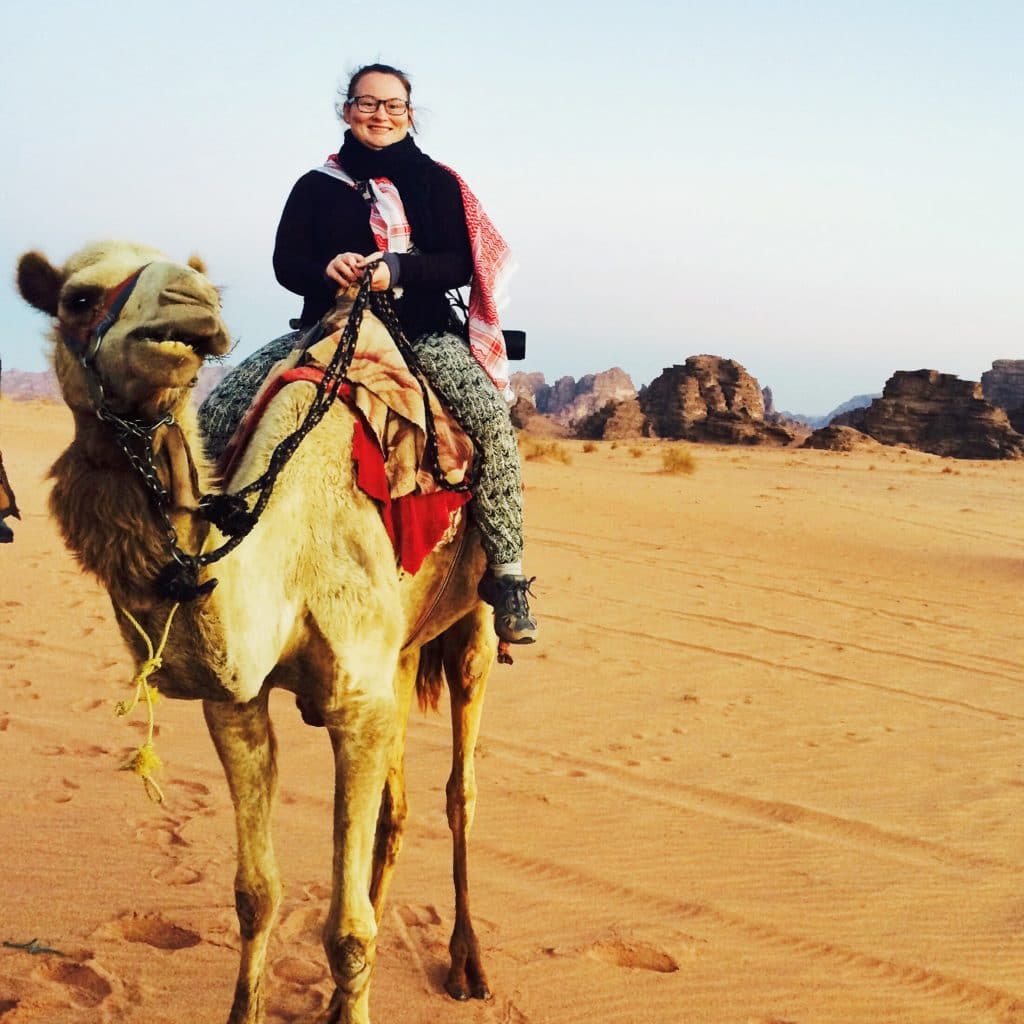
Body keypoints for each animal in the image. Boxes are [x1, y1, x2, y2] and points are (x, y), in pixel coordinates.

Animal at [18, 241, 503, 1024]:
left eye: (201, 284)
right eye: (78, 299)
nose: (191, 307)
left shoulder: (355, 707)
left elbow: (349, 934)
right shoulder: (239, 702)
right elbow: (256, 894)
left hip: (475, 622)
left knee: (460, 790)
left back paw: (468, 966)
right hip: (400, 650)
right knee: (395, 810)